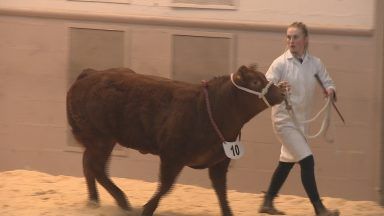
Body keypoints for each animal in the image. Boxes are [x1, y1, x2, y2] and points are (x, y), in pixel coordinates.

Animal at [66, 65, 284, 215]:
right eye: (255, 82)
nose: (282, 91)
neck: (212, 108)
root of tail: (90, 74)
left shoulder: (220, 161)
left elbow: (221, 191)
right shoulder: (172, 156)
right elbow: (166, 185)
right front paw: (147, 208)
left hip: (101, 140)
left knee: (89, 165)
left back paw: (94, 201)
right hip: (101, 138)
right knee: (96, 167)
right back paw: (122, 202)